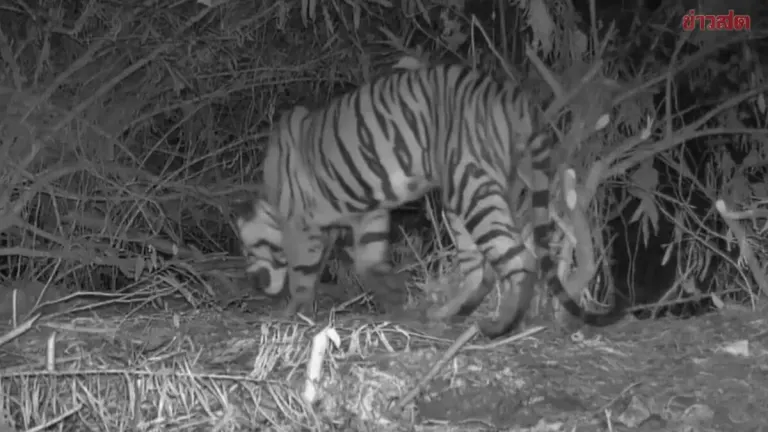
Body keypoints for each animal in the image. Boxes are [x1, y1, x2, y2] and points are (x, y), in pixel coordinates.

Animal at [234, 63, 625, 338]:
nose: (252, 282)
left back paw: (499, 327)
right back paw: (447, 315)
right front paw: (397, 301)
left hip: (470, 186)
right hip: (465, 198)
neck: (272, 200)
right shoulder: (370, 214)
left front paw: (290, 313)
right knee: (480, 268)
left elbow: (302, 275)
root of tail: (508, 95)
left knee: (517, 258)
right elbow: (369, 263)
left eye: (246, 248)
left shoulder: (301, 226)